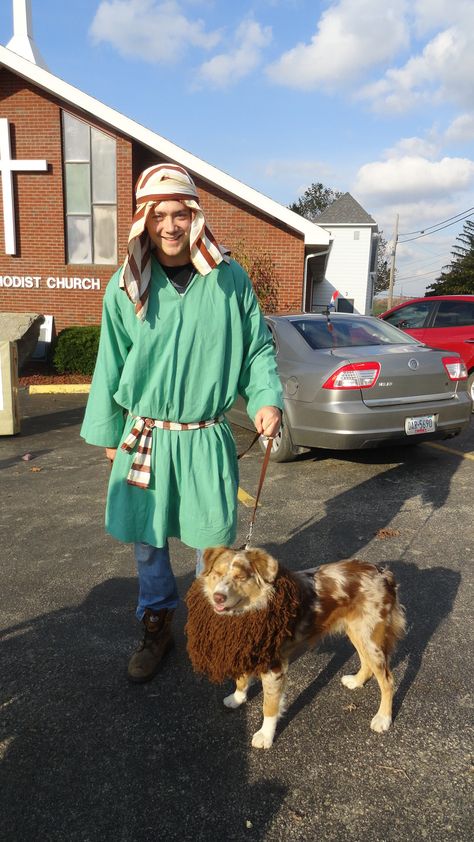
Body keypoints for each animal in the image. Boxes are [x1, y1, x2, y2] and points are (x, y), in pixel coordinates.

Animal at [184, 544, 404, 748]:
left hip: (369, 635)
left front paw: (265, 736)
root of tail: (383, 573)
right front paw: (237, 698)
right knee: (366, 663)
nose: (218, 597)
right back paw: (357, 681)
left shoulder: (273, 666)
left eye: (240, 577)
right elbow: (241, 678)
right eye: (217, 573)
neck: (252, 609)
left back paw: (383, 718)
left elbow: (269, 705)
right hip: (357, 632)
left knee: (387, 680)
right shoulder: (245, 646)